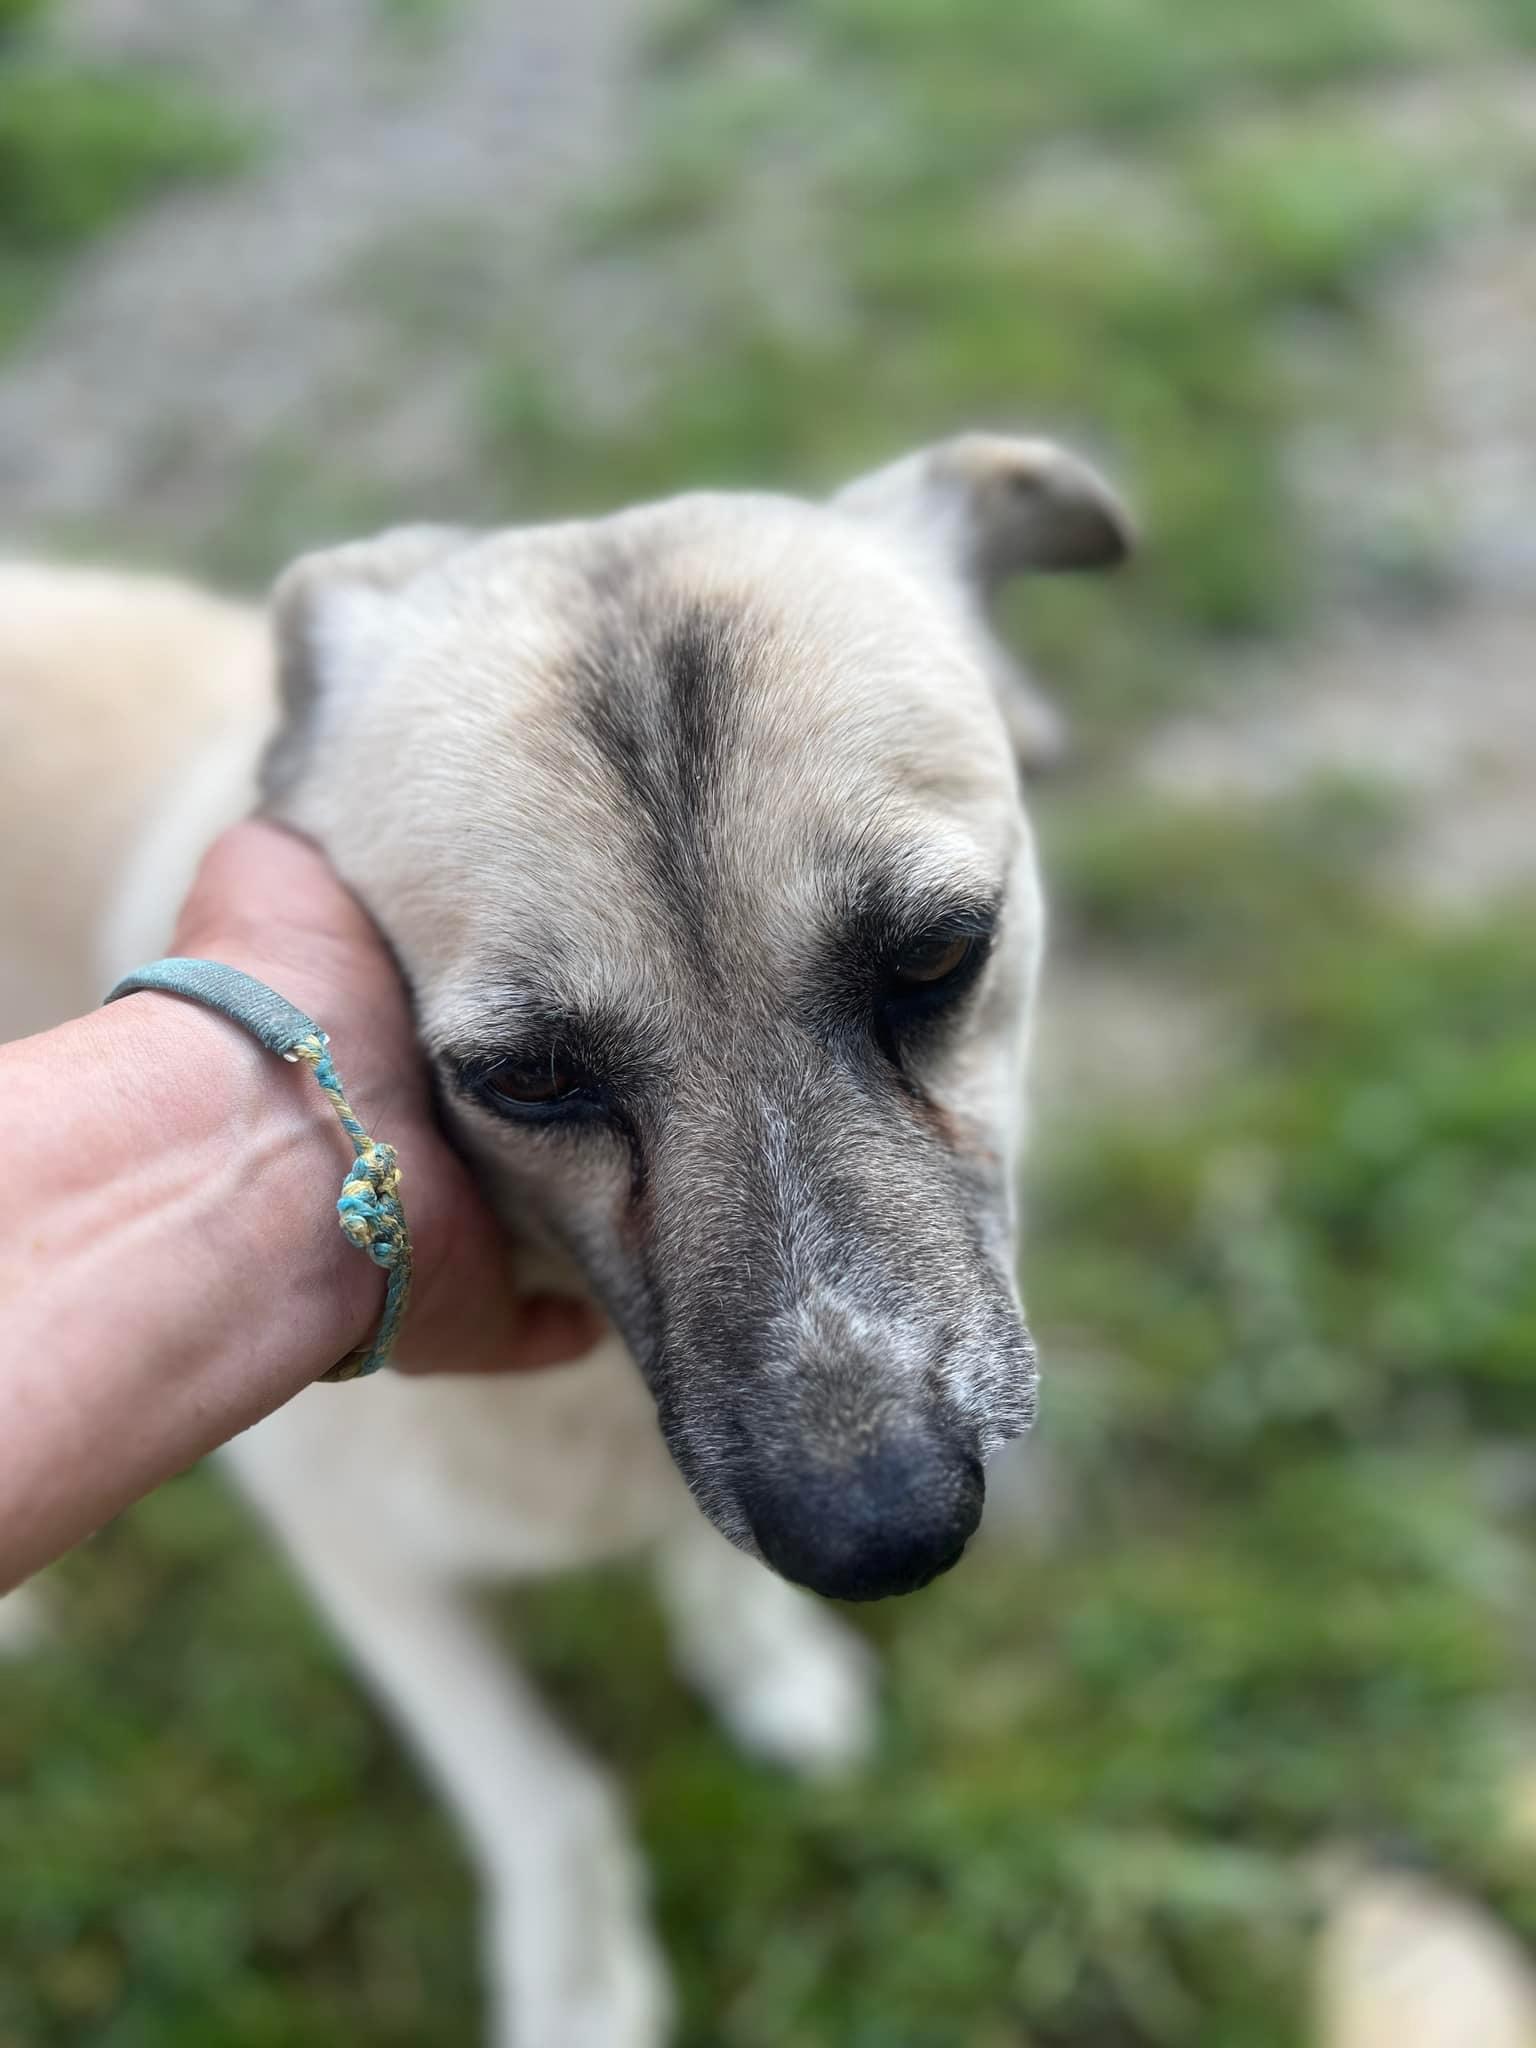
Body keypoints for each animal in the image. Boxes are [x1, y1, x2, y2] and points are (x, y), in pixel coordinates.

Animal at [0, 431, 1133, 2046]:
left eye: (937, 953)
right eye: (529, 1076)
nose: (880, 1535)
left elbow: (714, 1571)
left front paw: (769, 1670)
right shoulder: (371, 1575)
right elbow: (549, 1806)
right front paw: (586, 1992)